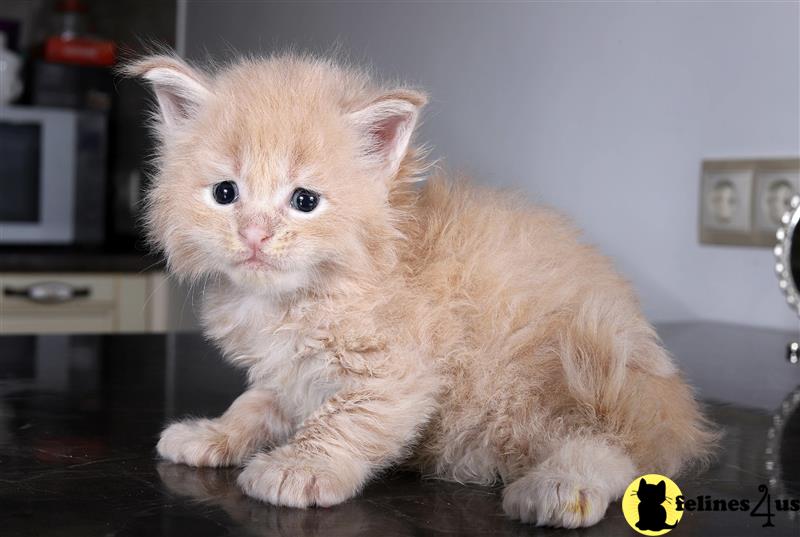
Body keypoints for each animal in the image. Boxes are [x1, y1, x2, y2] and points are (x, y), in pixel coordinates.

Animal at [128, 51, 716, 528]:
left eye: (304, 201)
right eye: (225, 193)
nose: (254, 234)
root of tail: (674, 408)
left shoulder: (400, 373)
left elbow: (344, 420)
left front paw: (300, 466)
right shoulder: (286, 373)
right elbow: (254, 403)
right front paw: (212, 434)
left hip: (567, 376)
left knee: (616, 447)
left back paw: (559, 487)